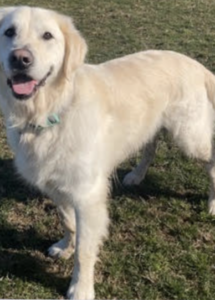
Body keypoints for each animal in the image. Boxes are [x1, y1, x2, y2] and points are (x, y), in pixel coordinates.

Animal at [0, 5, 215, 300]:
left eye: (47, 36)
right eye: (9, 32)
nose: (20, 59)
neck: (49, 112)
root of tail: (195, 64)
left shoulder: (88, 195)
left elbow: (85, 250)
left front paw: (81, 288)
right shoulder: (57, 186)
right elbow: (67, 222)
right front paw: (64, 247)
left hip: (190, 138)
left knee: (211, 161)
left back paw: (212, 204)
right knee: (151, 146)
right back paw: (136, 176)